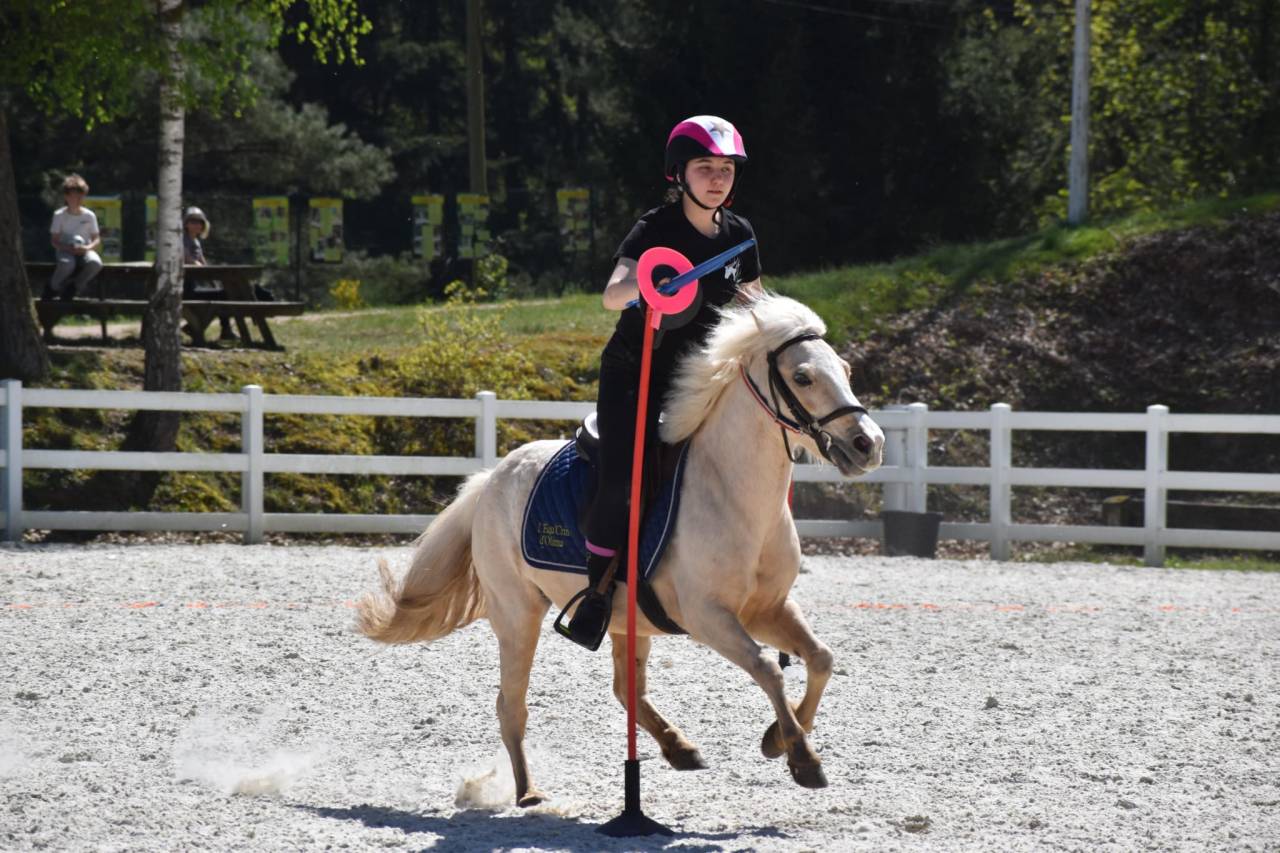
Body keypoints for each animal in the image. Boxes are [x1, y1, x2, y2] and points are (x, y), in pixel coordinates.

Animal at [357, 292, 885, 807]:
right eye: (802, 376)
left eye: (846, 370)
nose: (868, 444)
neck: (732, 493)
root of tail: (491, 479)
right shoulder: (709, 617)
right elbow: (768, 669)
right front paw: (802, 757)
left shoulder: (767, 609)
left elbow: (821, 658)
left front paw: (778, 736)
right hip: (517, 615)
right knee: (512, 705)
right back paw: (528, 791)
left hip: (626, 619)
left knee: (625, 688)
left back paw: (678, 747)